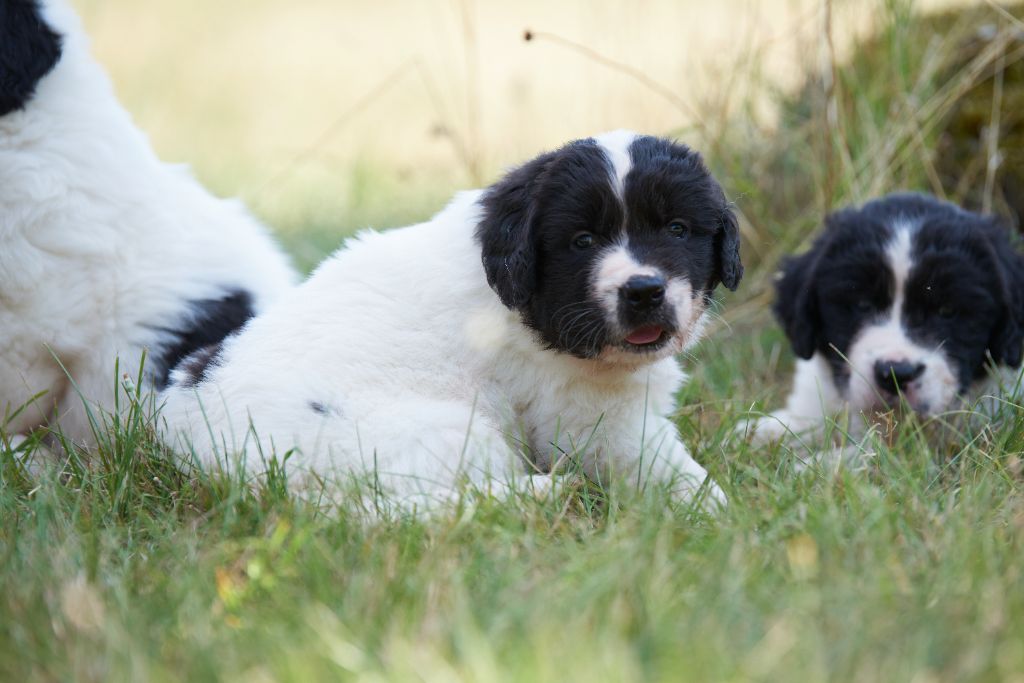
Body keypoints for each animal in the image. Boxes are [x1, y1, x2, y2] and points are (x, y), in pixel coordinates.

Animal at [157, 131, 745, 509]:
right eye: (582, 241)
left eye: (677, 229)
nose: (644, 291)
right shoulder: (589, 413)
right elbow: (662, 464)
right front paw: (716, 512)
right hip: (441, 431)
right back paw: (543, 495)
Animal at [745, 192, 1024, 456]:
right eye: (862, 305)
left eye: (947, 310)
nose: (896, 374)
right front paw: (763, 432)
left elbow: (874, 455)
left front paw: (818, 462)